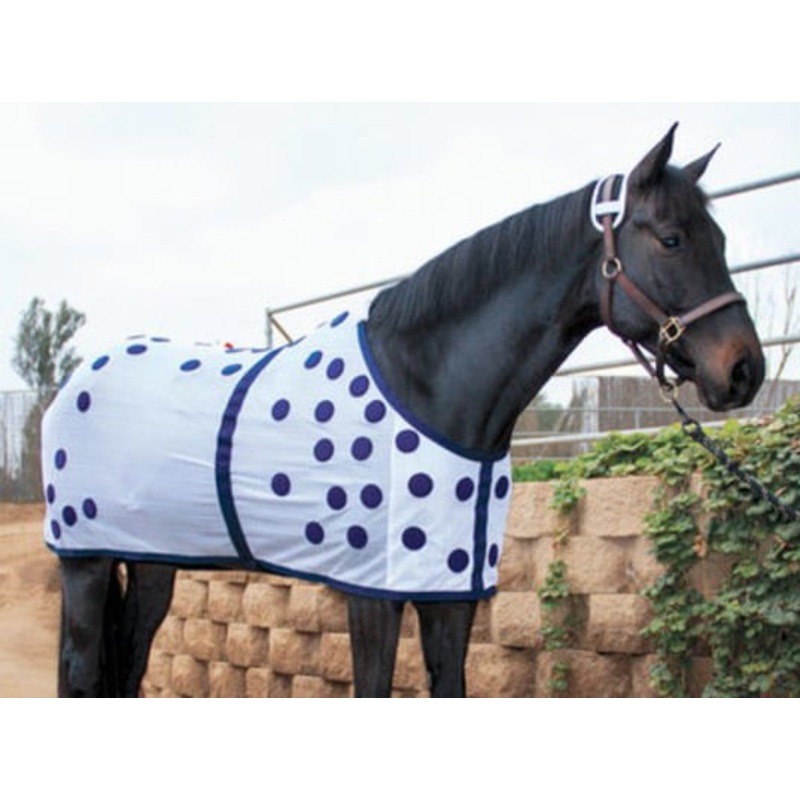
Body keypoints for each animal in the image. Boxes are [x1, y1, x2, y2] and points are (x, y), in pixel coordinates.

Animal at [43, 123, 765, 697]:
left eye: (722, 238)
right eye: (671, 239)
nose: (745, 370)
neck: (428, 387)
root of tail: (76, 380)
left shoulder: (451, 595)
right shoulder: (372, 594)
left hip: (152, 563)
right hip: (85, 563)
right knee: (81, 674)